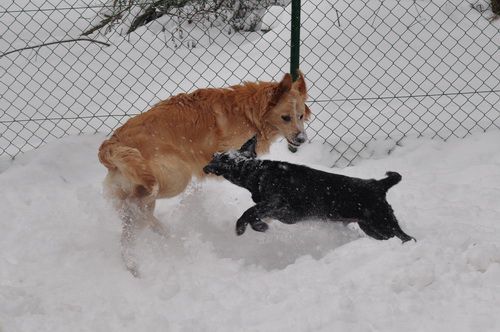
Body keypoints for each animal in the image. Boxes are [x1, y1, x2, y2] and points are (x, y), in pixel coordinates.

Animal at [97, 72, 308, 274]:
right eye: (286, 117)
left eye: (300, 116)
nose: (302, 139)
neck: (250, 113)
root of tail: (111, 145)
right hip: (175, 176)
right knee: (135, 207)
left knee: (130, 225)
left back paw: (146, 251)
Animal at [202, 136, 414, 243]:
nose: (208, 163)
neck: (255, 172)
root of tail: (378, 184)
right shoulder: (275, 211)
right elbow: (255, 214)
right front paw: (260, 226)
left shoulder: (277, 204)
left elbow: (249, 212)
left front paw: (243, 228)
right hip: (372, 227)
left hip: (382, 222)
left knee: (408, 238)